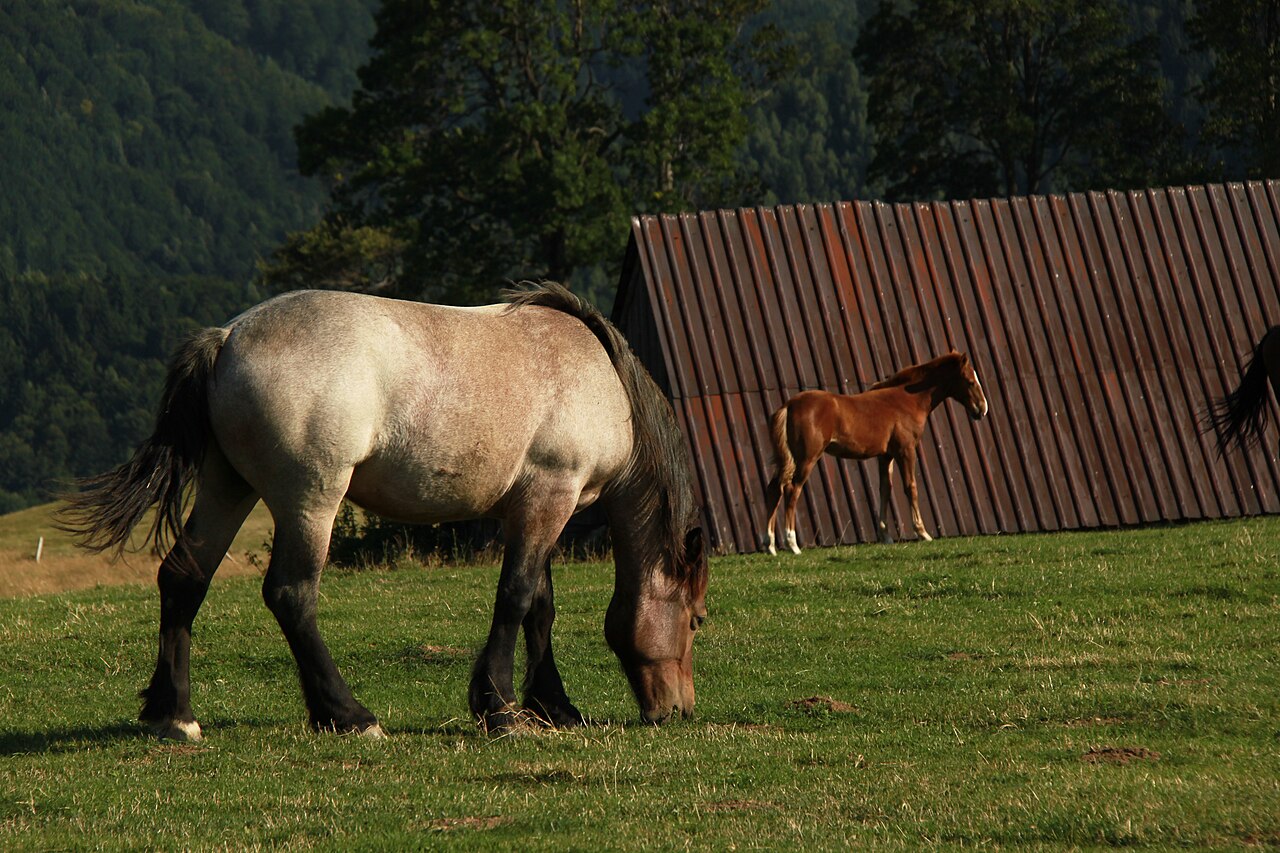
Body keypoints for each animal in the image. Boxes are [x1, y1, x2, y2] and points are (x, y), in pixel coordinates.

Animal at [56, 283, 708, 739]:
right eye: (698, 620)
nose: (678, 710)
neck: (602, 380)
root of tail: (228, 337)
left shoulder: (529, 508)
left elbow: (538, 607)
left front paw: (553, 706)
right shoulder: (551, 497)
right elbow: (516, 599)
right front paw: (500, 710)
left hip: (227, 487)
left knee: (183, 578)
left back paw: (176, 715)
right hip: (311, 496)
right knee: (290, 594)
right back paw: (348, 715)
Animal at [763, 352, 988, 555]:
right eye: (970, 382)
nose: (982, 410)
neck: (907, 399)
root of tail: (789, 405)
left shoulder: (885, 456)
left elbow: (885, 490)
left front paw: (886, 536)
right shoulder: (906, 450)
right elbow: (911, 487)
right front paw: (922, 533)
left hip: (787, 460)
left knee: (774, 489)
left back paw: (770, 545)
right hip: (806, 458)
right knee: (792, 489)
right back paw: (793, 544)